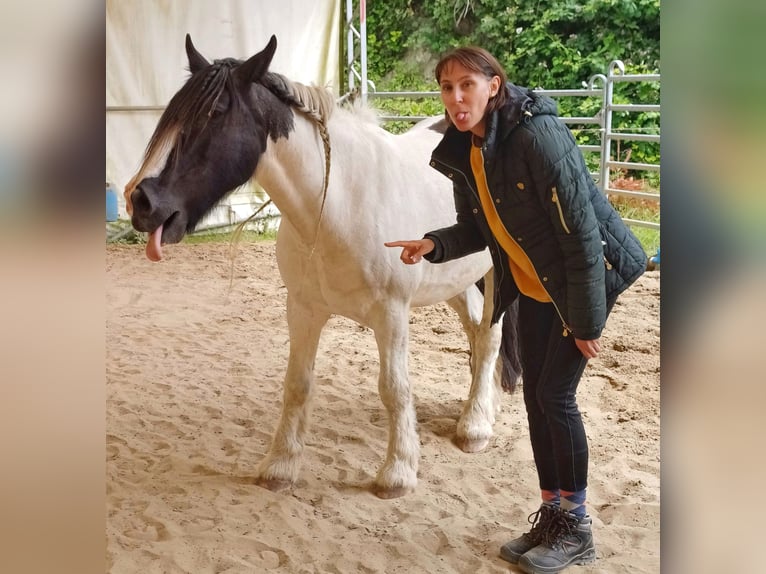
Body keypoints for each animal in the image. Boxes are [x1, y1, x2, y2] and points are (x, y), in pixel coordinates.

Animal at [124, 33, 520, 500]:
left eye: (215, 113)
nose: (139, 201)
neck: (338, 205)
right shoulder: (304, 309)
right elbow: (297, 384)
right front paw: (280, 465)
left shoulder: (392, 315)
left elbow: (394, 389)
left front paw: (397, 473)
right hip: (456, 282)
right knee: (475, 333)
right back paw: (484, 408)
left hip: (492, 276)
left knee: (489, 337)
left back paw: (475, 427)